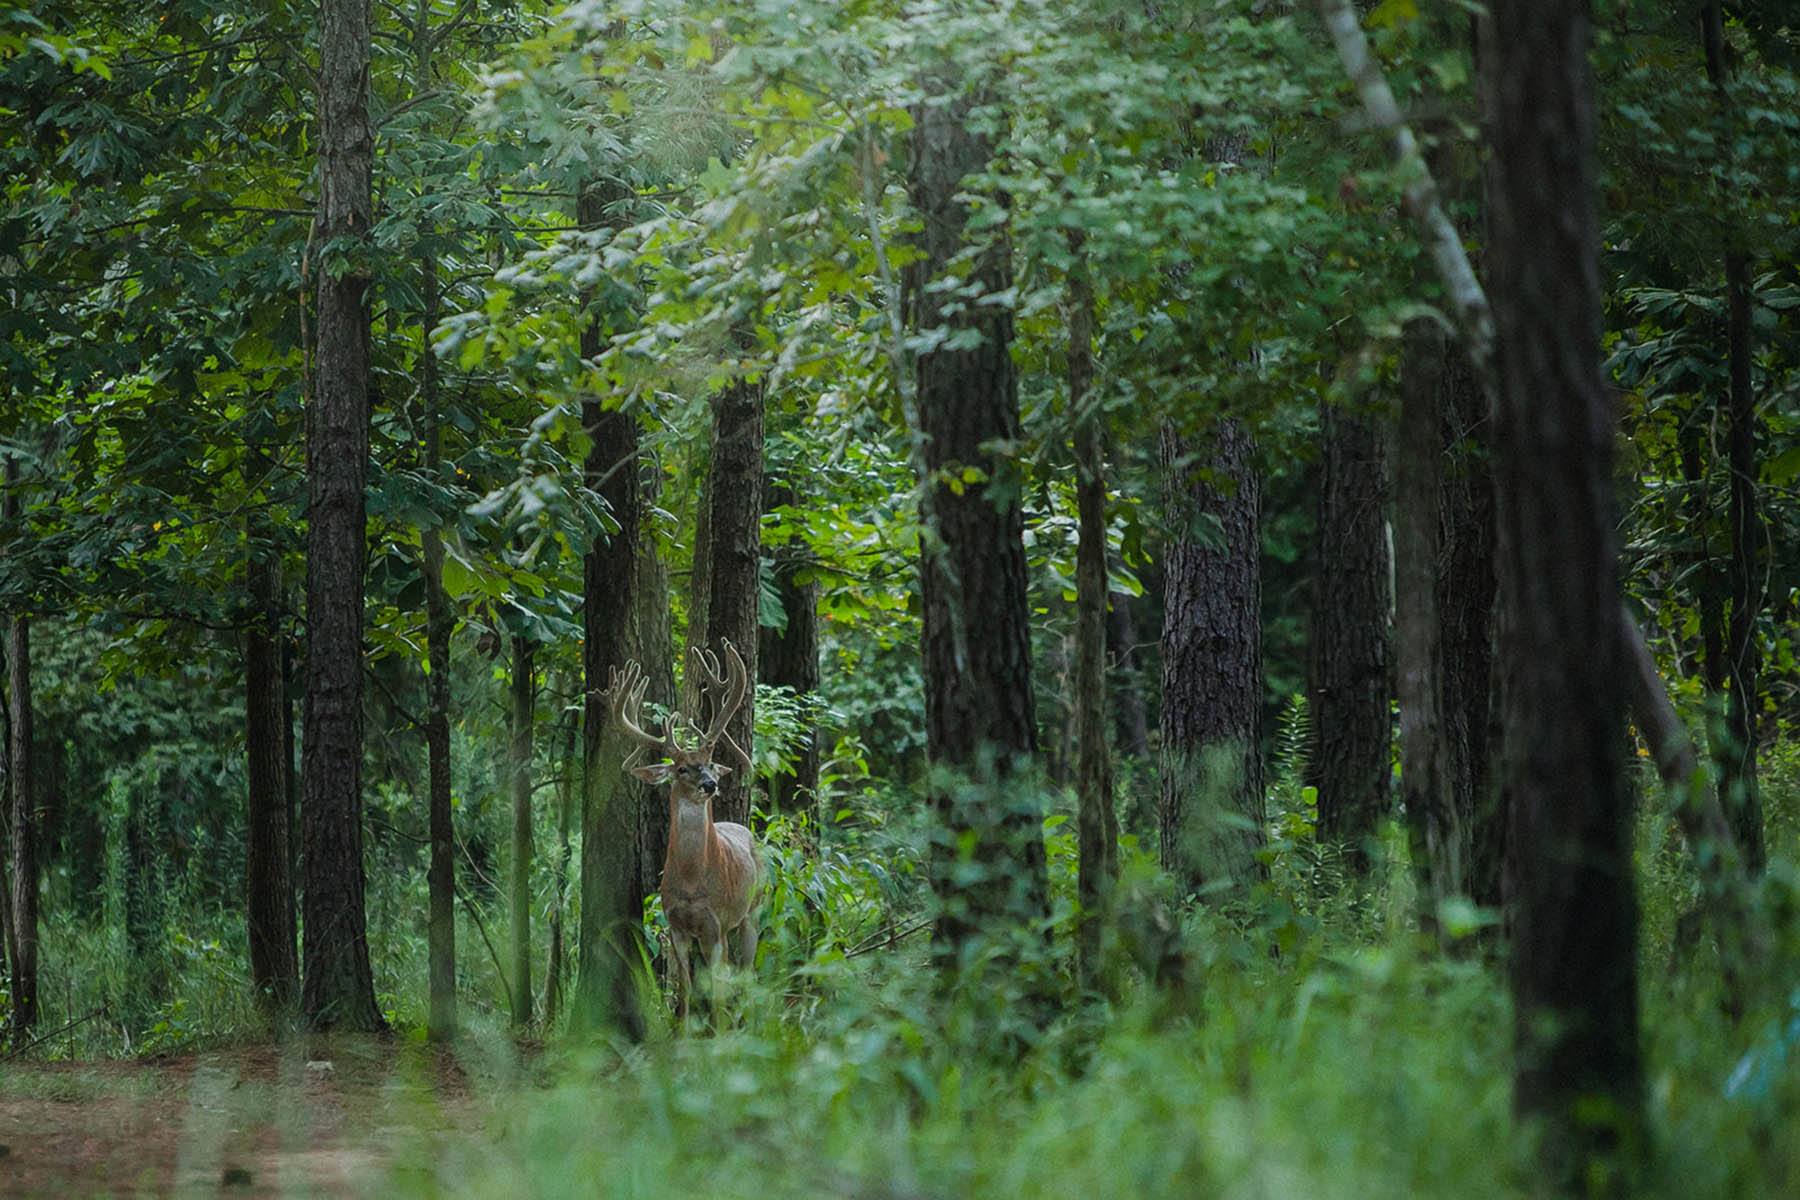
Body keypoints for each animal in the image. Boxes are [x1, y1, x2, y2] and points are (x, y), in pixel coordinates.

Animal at [608, 636, 763, 1021]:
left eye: (710, 763)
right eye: (681, 769)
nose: (710, 784)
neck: (693, 883)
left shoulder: (716, 924)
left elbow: (718, 994)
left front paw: (719, 1032)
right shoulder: (676, 926)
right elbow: (685, 991)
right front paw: (683, 1031)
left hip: (754, 909)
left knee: (748, 971)